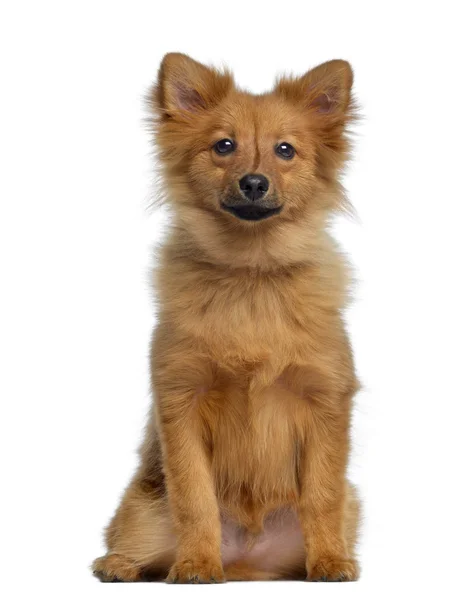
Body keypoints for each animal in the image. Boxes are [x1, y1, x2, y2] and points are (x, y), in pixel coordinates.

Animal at [92, 54, 362, 584]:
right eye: (224, 146)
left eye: (285, 150)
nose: (253, 182)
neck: (250, 271)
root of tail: (245, 560)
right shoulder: (182, 401)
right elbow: (195, 498)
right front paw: (197, 563)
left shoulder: (325, 401)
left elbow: (322, 495)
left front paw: (330, 561)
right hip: (144, 514)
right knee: (129, 542)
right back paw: (121, 566)